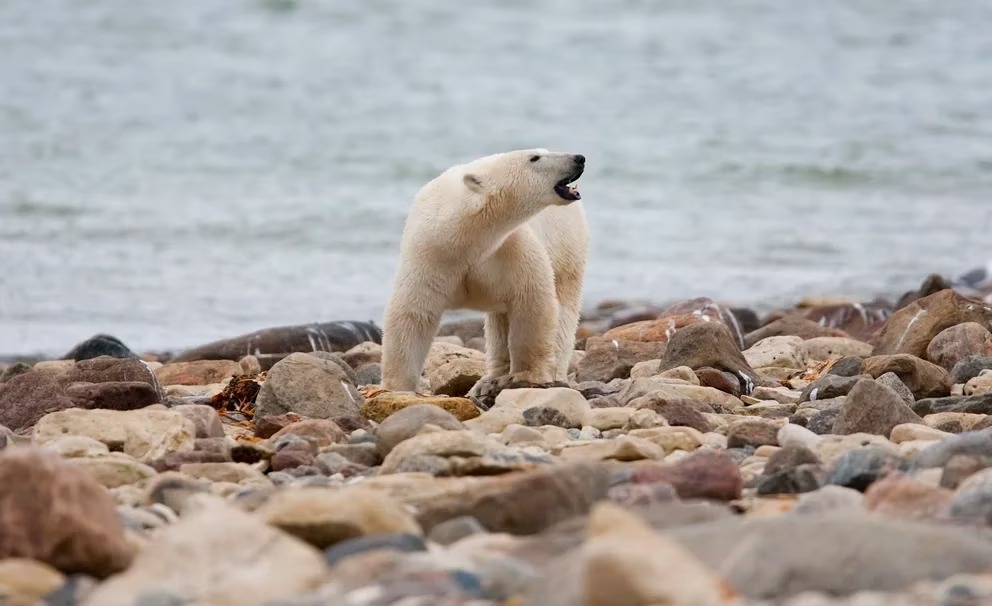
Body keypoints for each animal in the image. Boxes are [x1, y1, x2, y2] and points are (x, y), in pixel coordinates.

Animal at [378, 150, 580, 392]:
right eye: (535, 157)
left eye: (544, 152)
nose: (579, 158)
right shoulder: (429, 255)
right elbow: (414, 313)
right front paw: (399, 385)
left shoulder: (510, 250)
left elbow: (531, 301)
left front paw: (526, 375)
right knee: (499, 321)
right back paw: (490, 380)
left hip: (566, 250)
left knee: (564, 311)